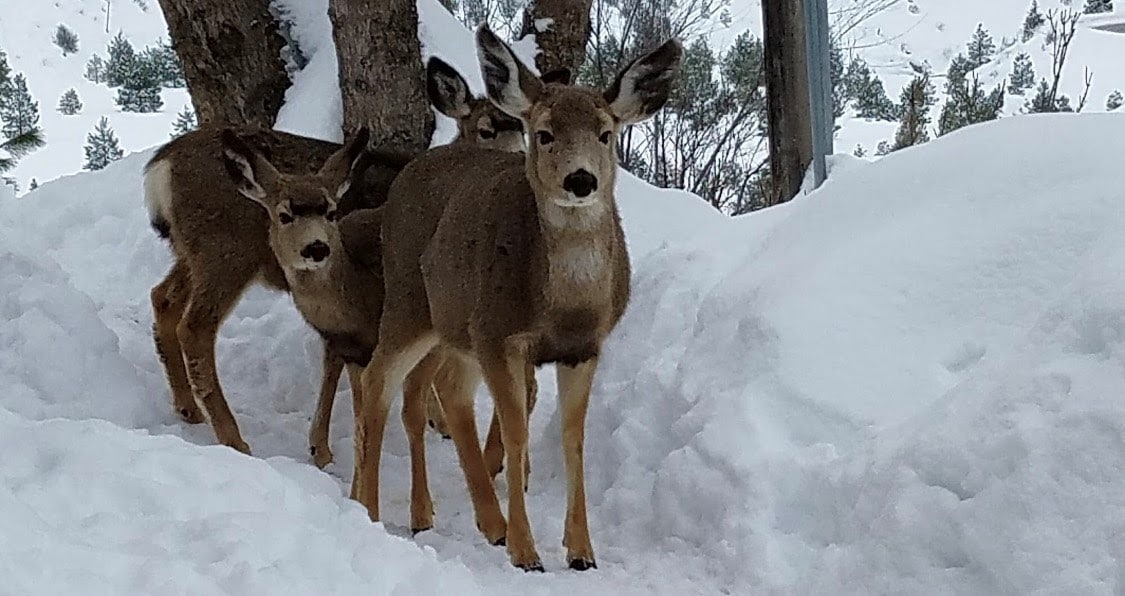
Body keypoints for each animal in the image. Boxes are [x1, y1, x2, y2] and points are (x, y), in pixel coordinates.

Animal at [146, 56, 526, 458]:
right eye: (485, 130)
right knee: (196, 327)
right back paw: (232, 436)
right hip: (225, 252)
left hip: (193, 251)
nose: (518, 163)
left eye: (523, 125)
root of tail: (160, 168)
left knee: (163, 297)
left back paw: (187, 407)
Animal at [355, 25, 679, 569]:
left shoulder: (583, 348)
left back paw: (475, 520)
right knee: (378, 382)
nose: (581, 179)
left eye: (605, 133)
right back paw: (370, 509)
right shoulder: (498, 333)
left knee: (441, 390)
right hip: (410, 300)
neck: (562, 306)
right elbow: (516, 430)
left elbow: (572, 438)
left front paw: (581, 551)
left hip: (454, 326)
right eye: (544, 133)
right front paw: (527, 552)